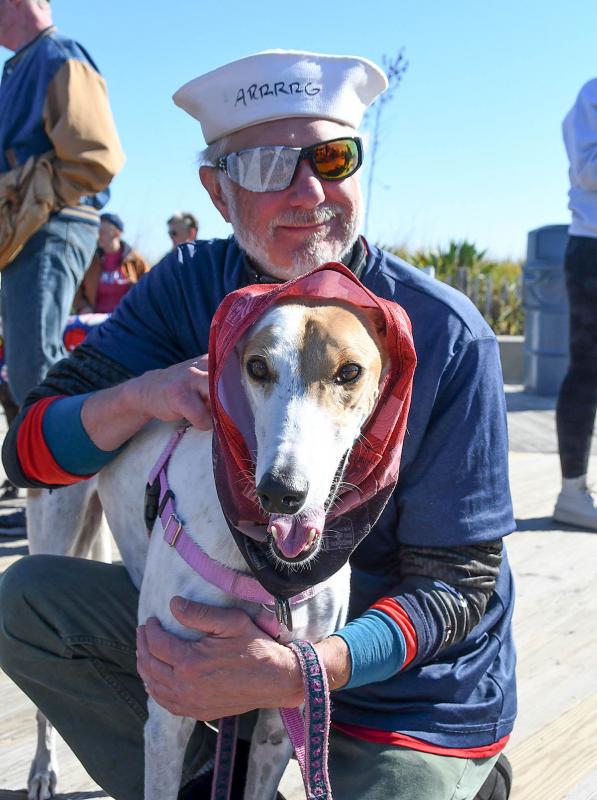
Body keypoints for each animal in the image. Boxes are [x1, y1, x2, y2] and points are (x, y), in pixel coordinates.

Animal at [25, 294, 392, 800]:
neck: (266, 572)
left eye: (350, 372)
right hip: (55, 526)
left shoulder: (289, 699)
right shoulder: (168, 701)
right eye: (256, 367)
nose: (280, 493)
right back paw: (42, 768)